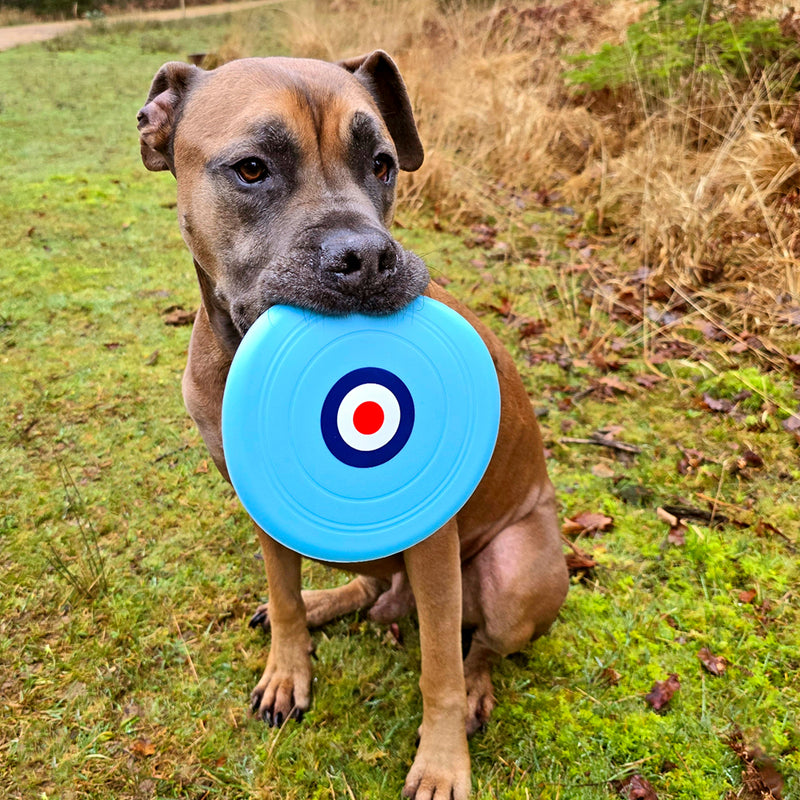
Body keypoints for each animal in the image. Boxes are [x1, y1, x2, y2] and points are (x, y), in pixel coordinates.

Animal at [138, 53, 568, 796]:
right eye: (251, 168)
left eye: (383, 164)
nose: (367, 257)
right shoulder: (261, 506)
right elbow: (280, 593)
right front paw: (289, 666)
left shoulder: (434, 541)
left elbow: (439, 667)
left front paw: (442, 761)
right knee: (368, 585)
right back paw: (325, 602)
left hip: (516, 572)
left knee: (480, 646)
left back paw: (475, 692)